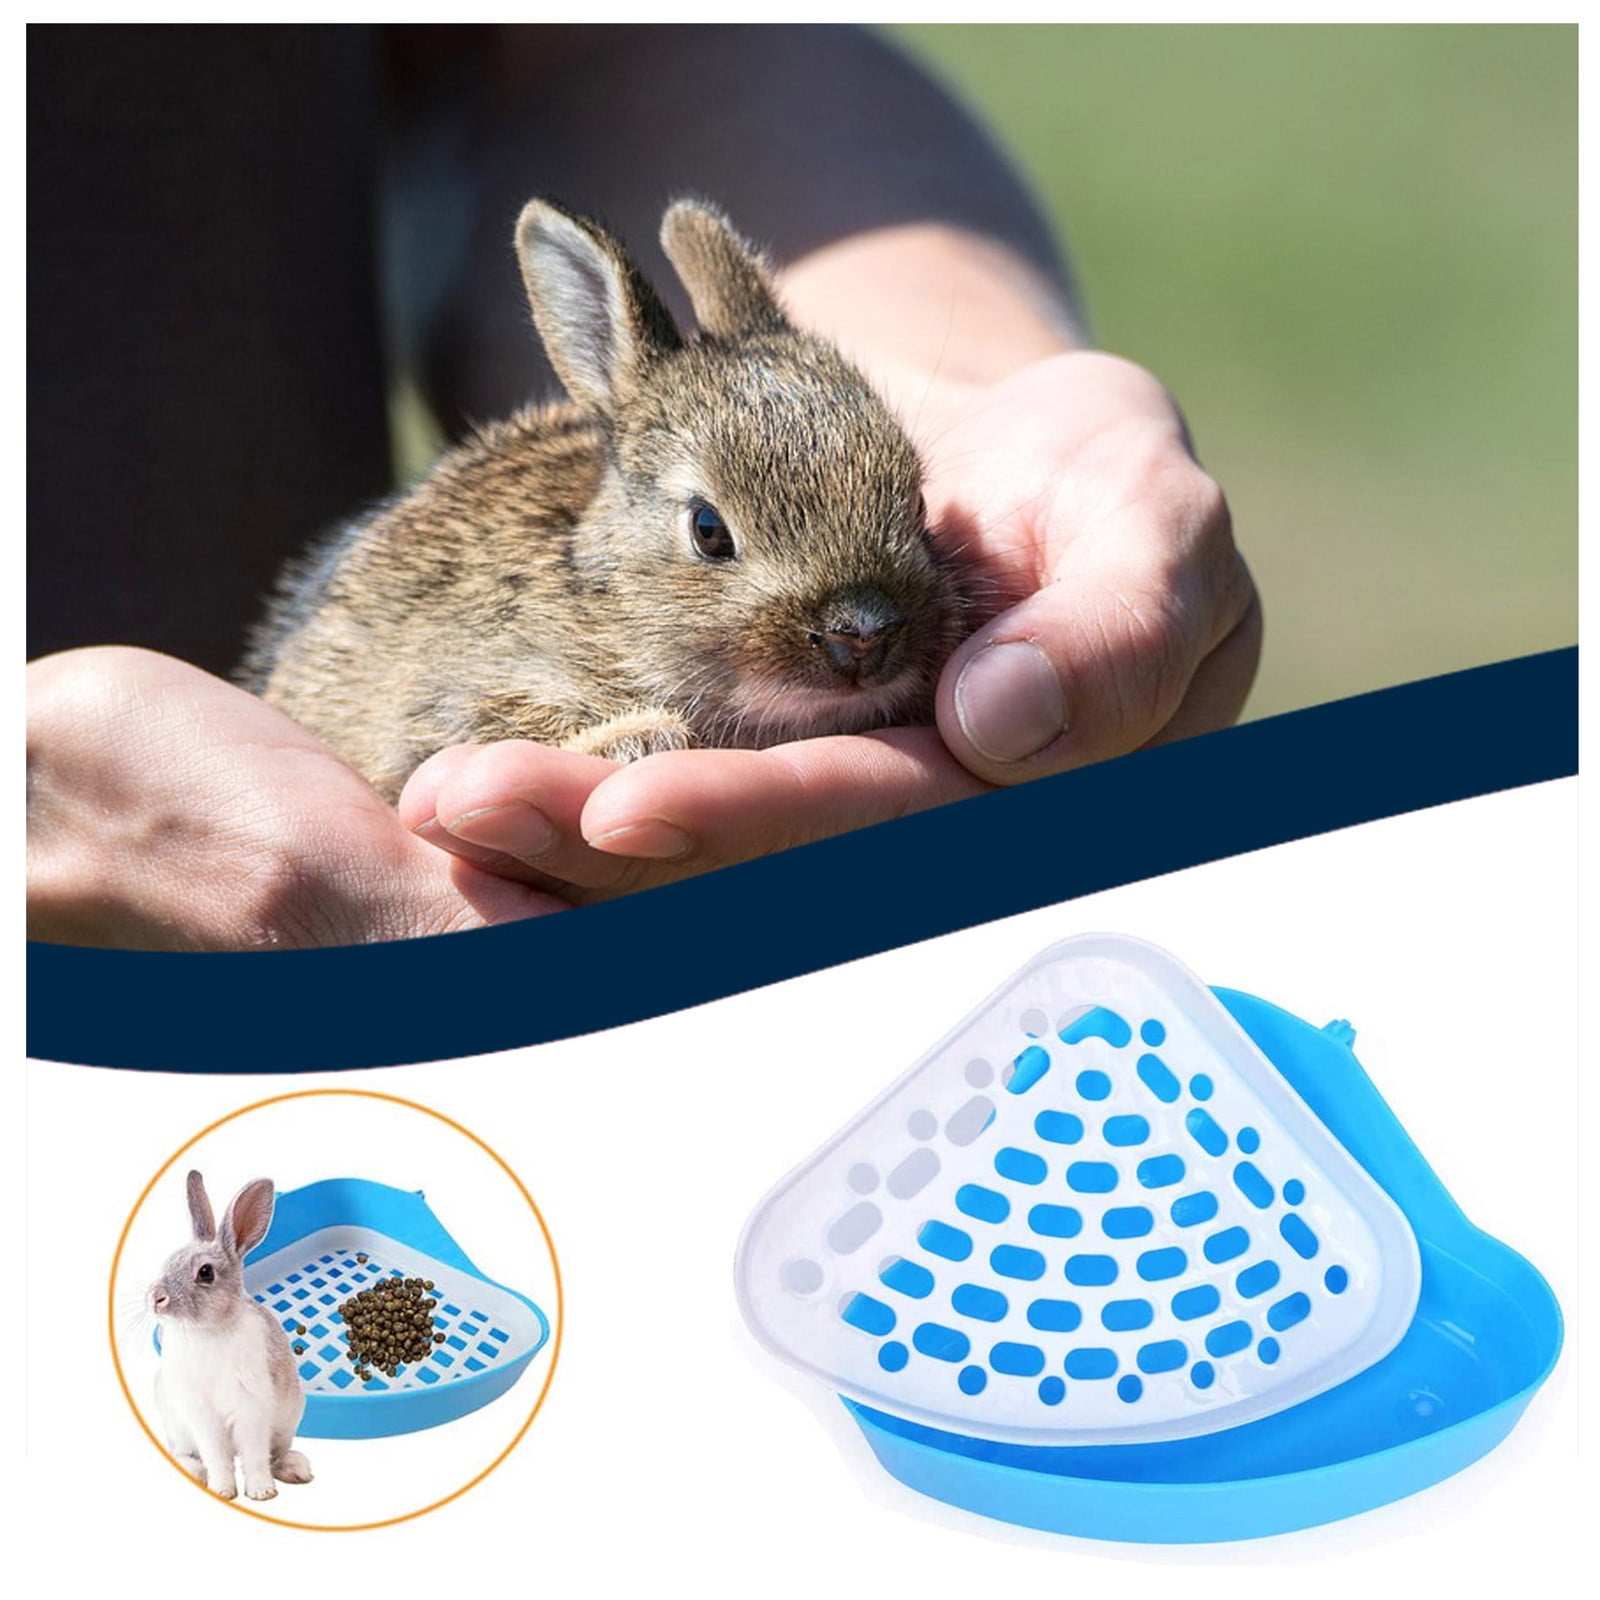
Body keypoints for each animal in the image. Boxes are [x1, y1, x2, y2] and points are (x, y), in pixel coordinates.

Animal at [147, 1171, 312, 1501]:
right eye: (167, 1263)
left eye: (206, 1273)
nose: (156, 1298)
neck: (208, 1330)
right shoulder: (203, 1418)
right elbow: (217, 1456)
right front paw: (223, 1491)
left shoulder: (253, 1411)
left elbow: (255, 1456)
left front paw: (261, 1492)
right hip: (177, 1426)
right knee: (186, 1453)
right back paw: (193, 1472)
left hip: (287, 1421)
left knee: (275, 1454)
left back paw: (296, 1469)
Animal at [241, 197, 967, 802]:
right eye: (709, 530)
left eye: (917, 502)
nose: (864, 634)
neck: (613, 602)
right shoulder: (449, 701)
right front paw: (639, 738)